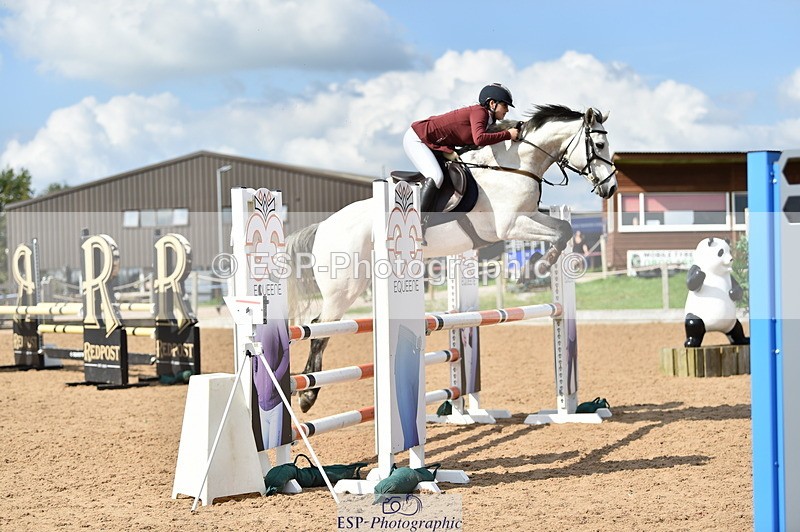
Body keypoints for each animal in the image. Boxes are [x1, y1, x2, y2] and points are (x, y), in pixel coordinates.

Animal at [287, 104, 617, 412]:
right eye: (599, 145)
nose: (611, 188)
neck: (514, 166)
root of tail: (323, 227)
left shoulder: (530, 216)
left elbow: (564, 228)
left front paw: (540, 265)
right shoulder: (509, 225)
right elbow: (559, 233)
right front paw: (540, 265)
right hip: (345, 286)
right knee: (319, 329)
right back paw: (306, 395)